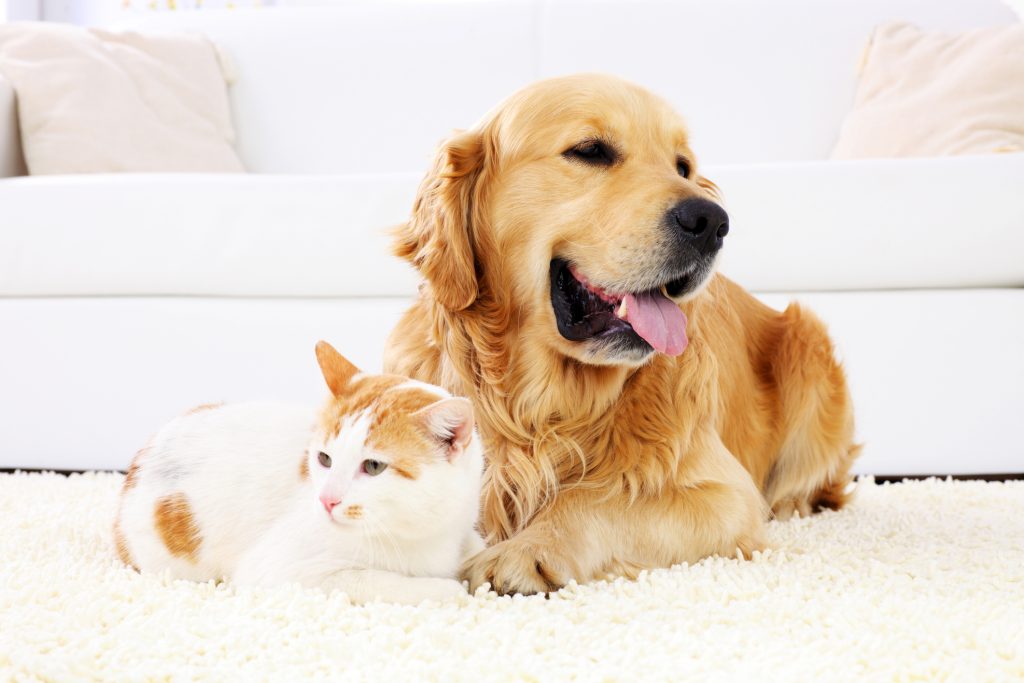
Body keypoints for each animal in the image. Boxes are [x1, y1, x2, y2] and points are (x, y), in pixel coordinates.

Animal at [114, 342, 481, 602]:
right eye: (324, 458)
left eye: (373, 466)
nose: (327, 500)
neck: (423, 531)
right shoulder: (280, 571)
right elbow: (374, 580)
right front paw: (447, 589)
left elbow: (476, 544)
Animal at [382, 73, 856, 593]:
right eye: (591, 151)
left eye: (683, 166)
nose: (712, 221)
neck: (544, 406)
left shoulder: (725, 494)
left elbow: (594, 499)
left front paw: (526, 550)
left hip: (807, 342)